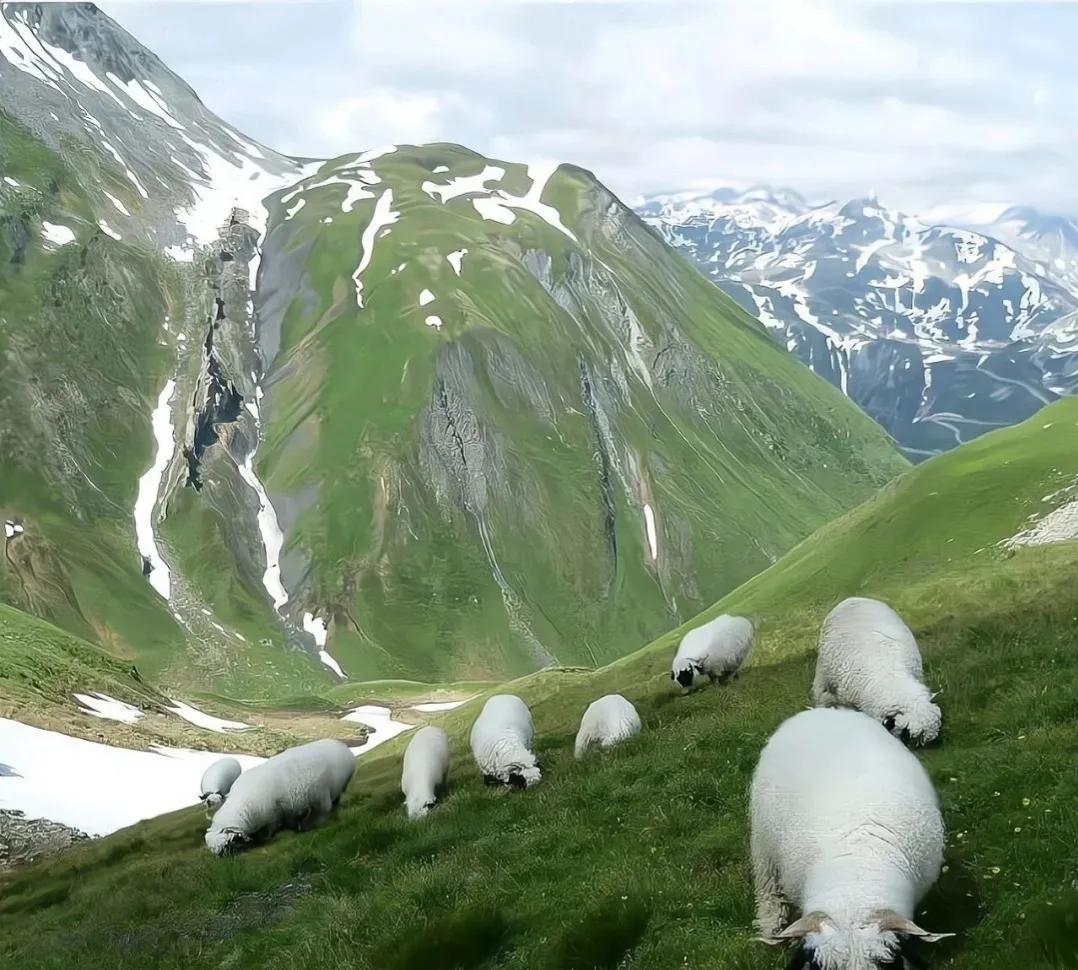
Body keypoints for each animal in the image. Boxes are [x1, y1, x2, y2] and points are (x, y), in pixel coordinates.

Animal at [202, 737, 353, 853]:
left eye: (228, 844)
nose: (224, 858)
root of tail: (340, 744)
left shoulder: (273, 816)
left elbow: (270, 831)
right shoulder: (287, 809)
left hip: (322, 795)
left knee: (325, 809)